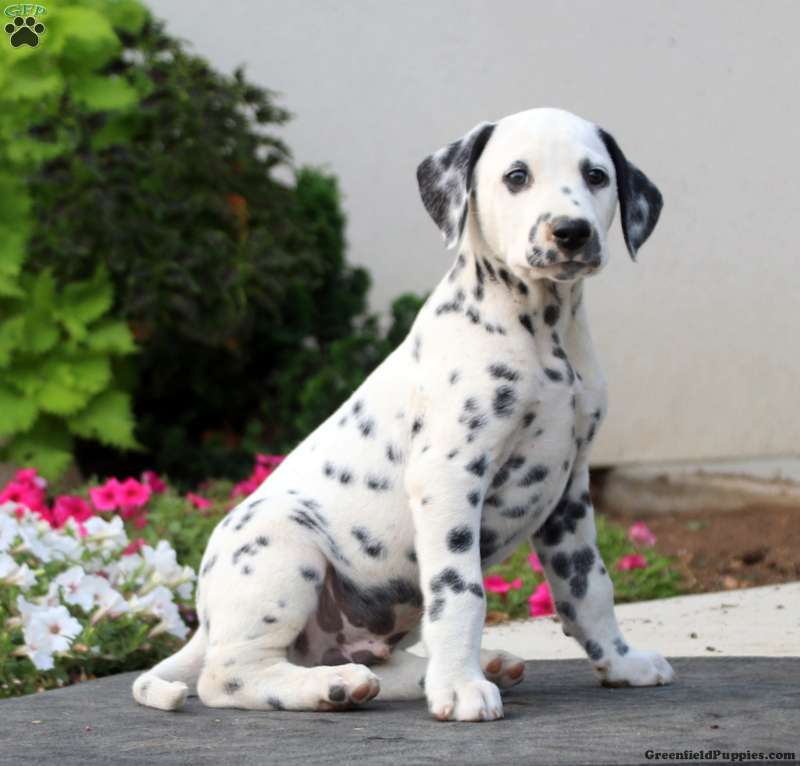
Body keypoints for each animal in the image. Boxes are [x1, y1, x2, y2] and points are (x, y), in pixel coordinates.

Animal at [134, 109, 672, 728]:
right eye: (516, 176)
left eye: (596, 175)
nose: (571, 231)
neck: (544, 332)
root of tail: (205, 617)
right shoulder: (451, 476)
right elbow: (461, 592)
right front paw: (460, 689)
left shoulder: (570, 489)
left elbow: (588, 587)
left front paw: (622, 663)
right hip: (284, 550)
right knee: (227, 677)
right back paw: (335, 686)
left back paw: (463, 669)